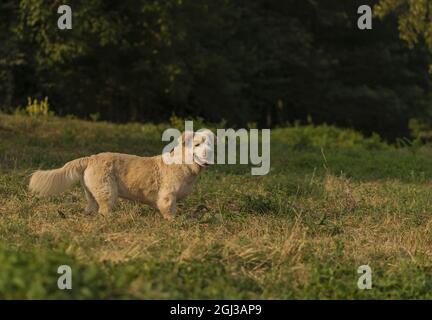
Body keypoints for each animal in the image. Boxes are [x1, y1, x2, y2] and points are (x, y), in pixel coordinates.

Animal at [28, 131, 214, 220]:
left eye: (210, 144)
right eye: (197, 144)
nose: (208, 154)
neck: (183, 163)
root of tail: (90, 158)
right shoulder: (168, 195)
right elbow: (169, 210)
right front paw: (173, 221)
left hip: (92, 194)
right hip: (108, 191)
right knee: (104, 210)